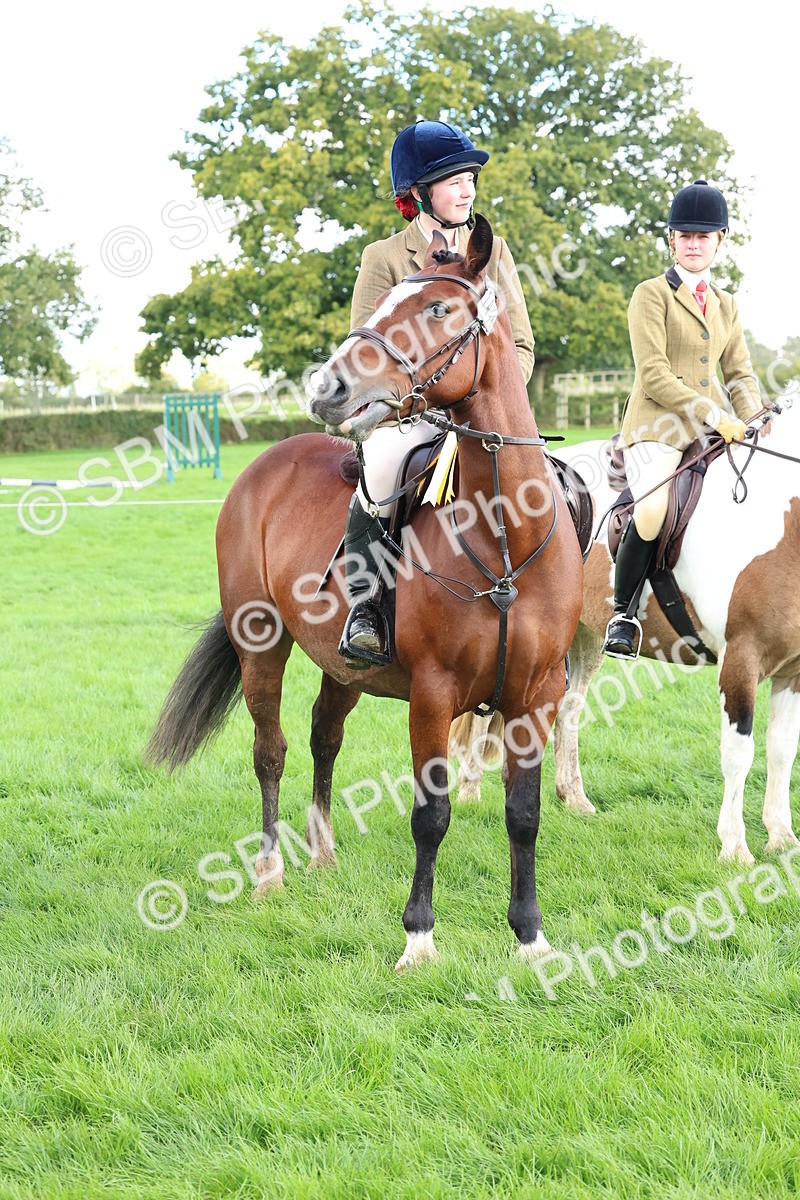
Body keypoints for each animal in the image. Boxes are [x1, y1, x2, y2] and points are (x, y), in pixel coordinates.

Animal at [146, 214, 584, 970]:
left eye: (438, 309)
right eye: (382, 304)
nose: (328, 389)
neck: (506, 535)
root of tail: (268, 463)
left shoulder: (537, 695)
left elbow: (523, 816)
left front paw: (530, 937)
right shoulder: (435, 695)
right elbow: (431, 814)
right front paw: (419, 938)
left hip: (341, 661)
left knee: (324, 735)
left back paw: (321, 853)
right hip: (261, 643)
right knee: (271, 750)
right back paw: (270, 872)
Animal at [451, 403, 800, 864]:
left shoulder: (792, 672)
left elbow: (782, 750)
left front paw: (781, 838)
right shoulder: (740, 658)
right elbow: (739, 753)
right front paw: (735, 847)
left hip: (584, 637)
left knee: (568, 709)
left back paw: (573, 797)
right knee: (484, 710)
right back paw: (469, 790)